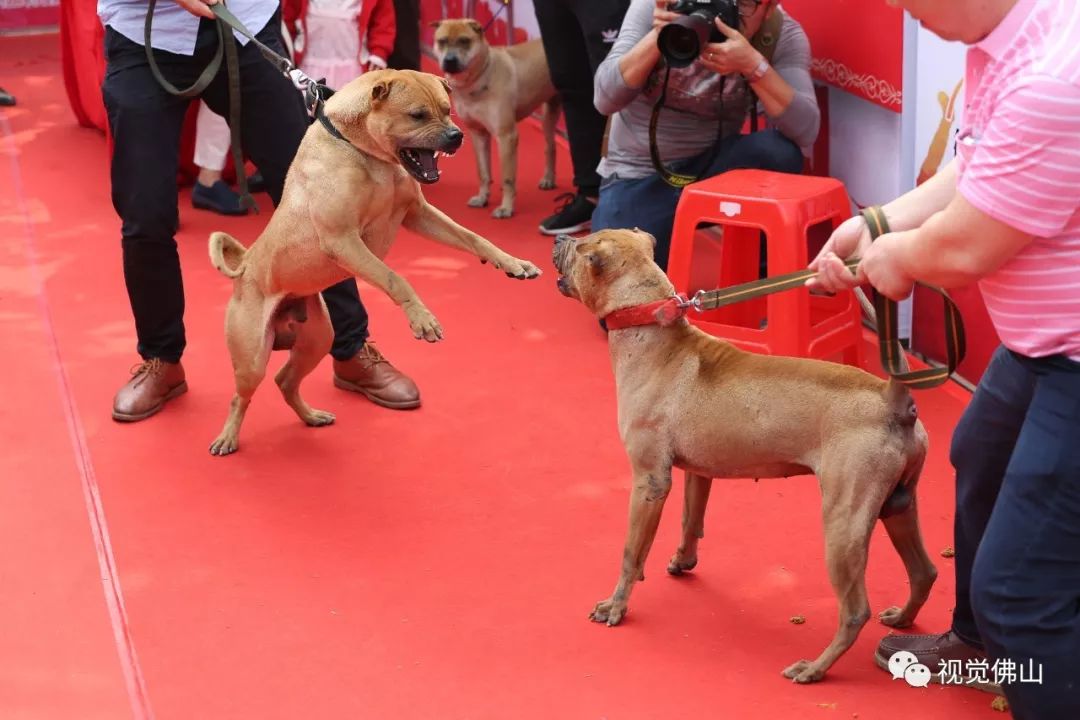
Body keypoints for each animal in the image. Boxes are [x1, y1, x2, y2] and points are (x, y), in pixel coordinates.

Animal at [205, 70, 540, 459]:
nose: (456, 136)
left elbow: (474, 238)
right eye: (417, 115)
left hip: (317, 340)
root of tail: (245, 264)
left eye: (447, 109)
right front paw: (422, 319)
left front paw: (512, 262)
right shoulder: (345, 240)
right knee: (240, 397)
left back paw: (312, 417)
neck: (365, 152)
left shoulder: (418, 215)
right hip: (251, 358)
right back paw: (228, 437)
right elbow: (395, 279)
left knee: (285, 381)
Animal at [429, 21, 561, 220]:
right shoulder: (478, 134)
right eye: (442, 41)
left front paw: (506, 208)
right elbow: (483, 172)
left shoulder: (506, 136)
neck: (479, 78)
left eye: (464, 41)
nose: (450, 60)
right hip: (549, 114)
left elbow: (507, 177)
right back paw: (548, 179)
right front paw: (482, 198)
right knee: (551, 146)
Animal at [552, 227, 941, 686]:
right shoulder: (696, 474)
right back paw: (903, 619)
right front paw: (683, 561)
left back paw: (814, 668)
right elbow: (691, 521)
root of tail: (891, 398)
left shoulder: (649, 482)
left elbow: (631, 552)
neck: (651, 327)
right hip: (898, 505)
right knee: (924, 571)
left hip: (844, 523)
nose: (558, 241)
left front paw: (616, 605)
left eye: (582, 248)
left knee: (854, 611)